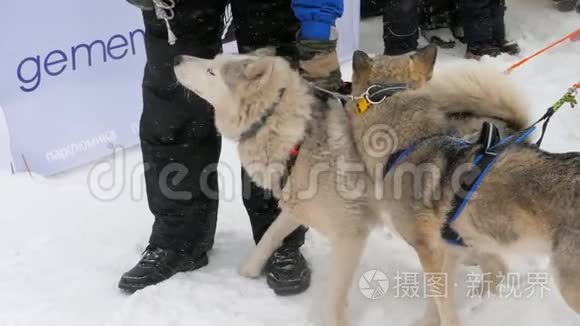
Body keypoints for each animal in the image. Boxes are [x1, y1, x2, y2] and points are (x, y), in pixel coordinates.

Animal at [171, 46, 576, 326]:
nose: (176, 56)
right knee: (493, 269)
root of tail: (511, 135)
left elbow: (335, 296)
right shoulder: (298, 208)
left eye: (211, 67)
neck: (293, 130)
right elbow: (270, 237)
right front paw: (248, 271)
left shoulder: (351, 232)